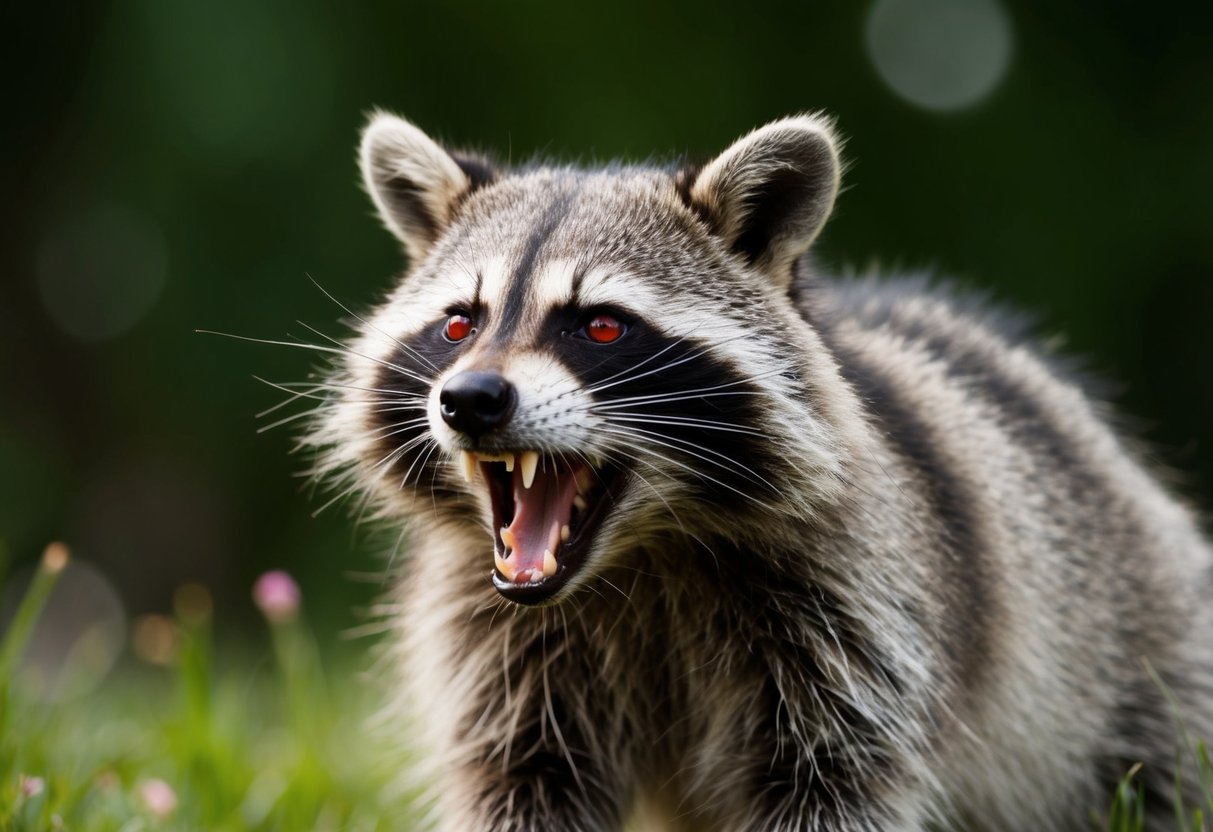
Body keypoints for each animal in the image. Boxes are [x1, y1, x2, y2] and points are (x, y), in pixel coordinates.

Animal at [305, 112, 1213, 831]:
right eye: (460, 323)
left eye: (600, 326)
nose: (469, 400)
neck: (643, 553)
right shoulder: (494, 645)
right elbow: (524, 776)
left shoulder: (860, 617)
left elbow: (827, 780)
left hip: (1141, 647)